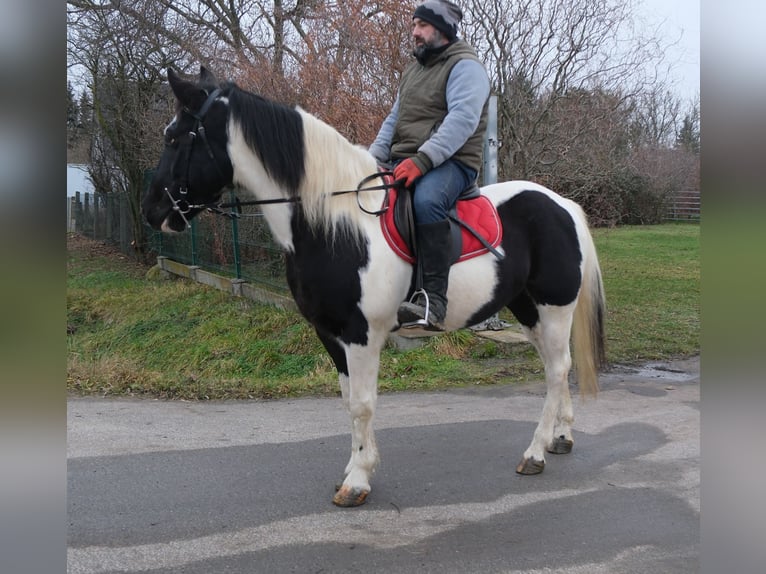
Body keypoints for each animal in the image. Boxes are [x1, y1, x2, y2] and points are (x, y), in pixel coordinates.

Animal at [142, 66, 606, 507]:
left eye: (175, 137)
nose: (153, 211)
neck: (336, 223)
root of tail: (562, 204)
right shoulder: (329, 334)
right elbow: (348, 402)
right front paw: (353, 468)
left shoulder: (360, 334)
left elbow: (363, 405)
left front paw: (358, 481)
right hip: (528, 309)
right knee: (555, 367)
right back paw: (560, 437)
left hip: (553, 307)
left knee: (556, 370)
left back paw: (535, 453)